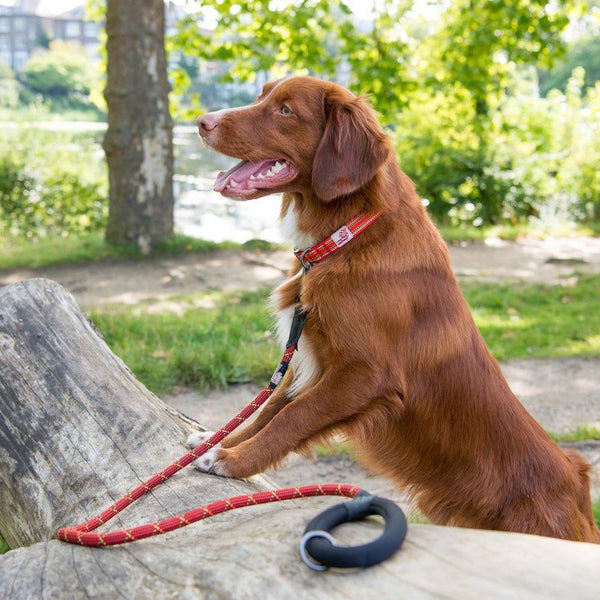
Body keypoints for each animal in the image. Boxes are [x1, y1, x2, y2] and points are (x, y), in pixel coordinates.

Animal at [185, 76, 596, 544]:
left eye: (286, 110)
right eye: (261, 95)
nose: (202, 122)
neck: (344, 237)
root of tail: (577, 486)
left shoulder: (364, 375)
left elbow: (291, 418)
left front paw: (230, 460)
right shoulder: (310, 359)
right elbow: (271, 410)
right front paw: (216, 442)